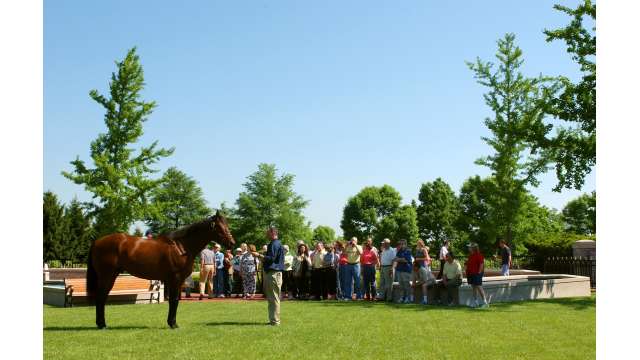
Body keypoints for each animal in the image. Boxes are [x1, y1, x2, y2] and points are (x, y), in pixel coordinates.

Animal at [86, 211, 234, 330]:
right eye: (220, 227)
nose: (232, 243)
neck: (181, 247)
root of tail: (97, 241)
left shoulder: (178, 281)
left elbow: (175, 300)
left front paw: (172, 322)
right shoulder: (175, 279)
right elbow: (174, 300)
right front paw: (173, 324)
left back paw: (101, 324)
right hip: (106, 276)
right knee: (101, 297)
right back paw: (102, 325)